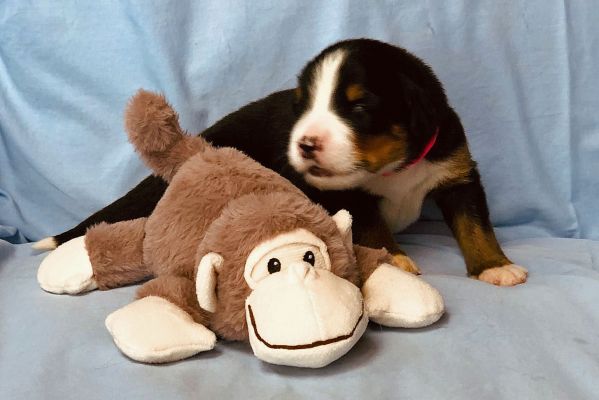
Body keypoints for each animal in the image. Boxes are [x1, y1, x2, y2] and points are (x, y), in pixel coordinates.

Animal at [41, 39, 528, 286]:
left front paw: (494, 266)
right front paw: (394, 259)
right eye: (304, 105)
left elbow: (475, 226)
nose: (307, 144)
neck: (394, 169)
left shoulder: (457, 173)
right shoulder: (351, 197)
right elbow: (374, 229)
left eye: (359, 107)